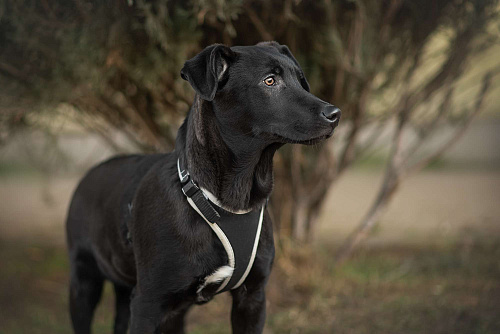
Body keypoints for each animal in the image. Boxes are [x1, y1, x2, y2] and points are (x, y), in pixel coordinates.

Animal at [66, 42, 340, 334]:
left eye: (301, 81)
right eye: (270, 81)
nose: (335, 114)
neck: (229, 200)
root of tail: (90, 174)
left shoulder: (252, 297)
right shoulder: (147, 303)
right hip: (84, 283)